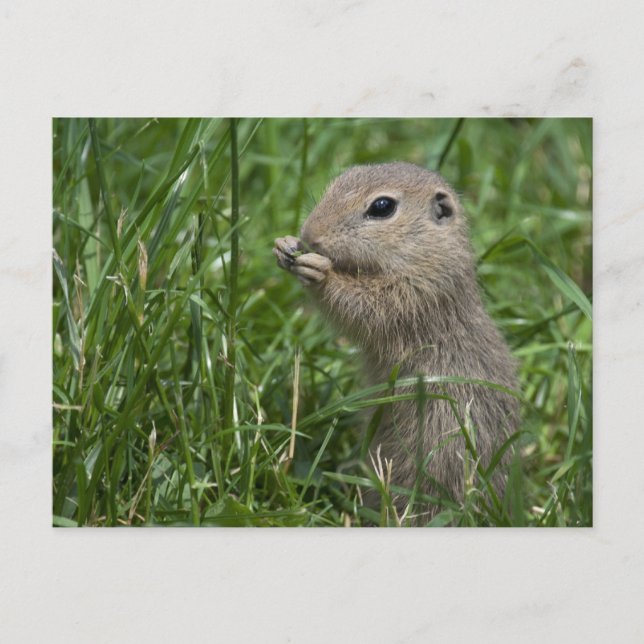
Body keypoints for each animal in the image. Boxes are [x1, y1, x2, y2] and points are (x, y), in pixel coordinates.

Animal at [273, 162, 519, 524]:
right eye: (339, 180)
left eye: (382, 207)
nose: (310, 235)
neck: (428, 252)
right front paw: (284, 245)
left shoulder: (416, 293)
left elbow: (364, 307)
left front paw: (319, 272)